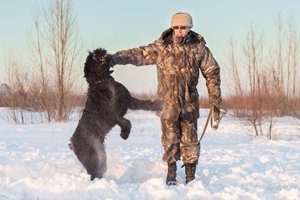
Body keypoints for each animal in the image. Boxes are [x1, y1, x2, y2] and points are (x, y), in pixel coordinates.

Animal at [69, 48, 161, 180]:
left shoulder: (129, 100)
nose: (101, 50)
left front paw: (160, 104)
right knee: (94, 173)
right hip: (93, 157)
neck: (102, 81)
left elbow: (146, 104)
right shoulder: (112, 113)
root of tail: (72, 143)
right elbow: (127, 122)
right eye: (94, 57)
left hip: (101, 154)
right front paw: (124, 135)